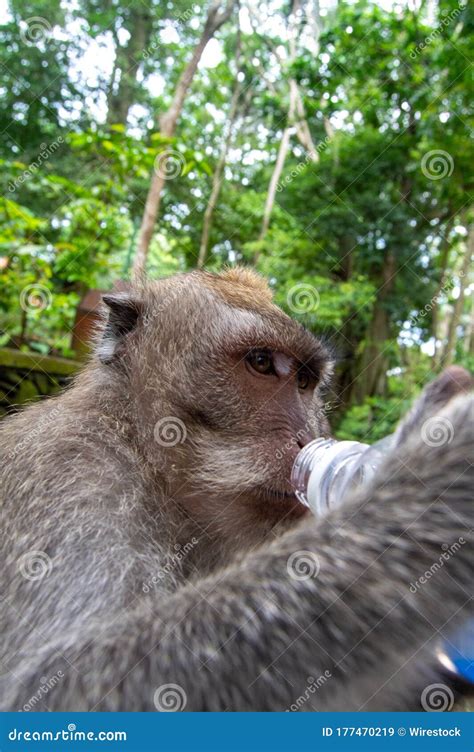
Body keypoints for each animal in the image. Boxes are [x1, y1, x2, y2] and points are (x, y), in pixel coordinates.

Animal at [0, 268, 472, 712]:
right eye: (261, 363)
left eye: (304, 381)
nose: (309, 438)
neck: (145, 455)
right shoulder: (71, 473)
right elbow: (53, 684)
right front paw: (429, 482)